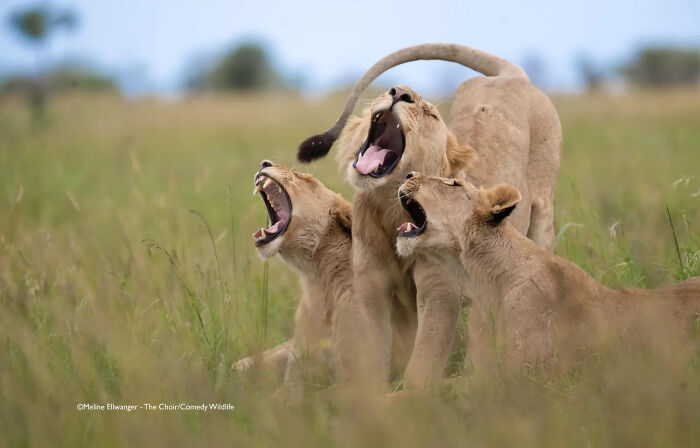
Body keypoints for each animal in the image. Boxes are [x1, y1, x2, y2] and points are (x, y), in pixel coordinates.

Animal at [295, 43, 562, 390]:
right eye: (389, 89)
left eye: (431, 114)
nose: (399, 92)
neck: (389, 208)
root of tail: (510, 77)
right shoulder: (370, 287)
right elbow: (370, 350)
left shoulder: (440, 290)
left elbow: (425, 356)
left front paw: (413, 396)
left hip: (543, 212)